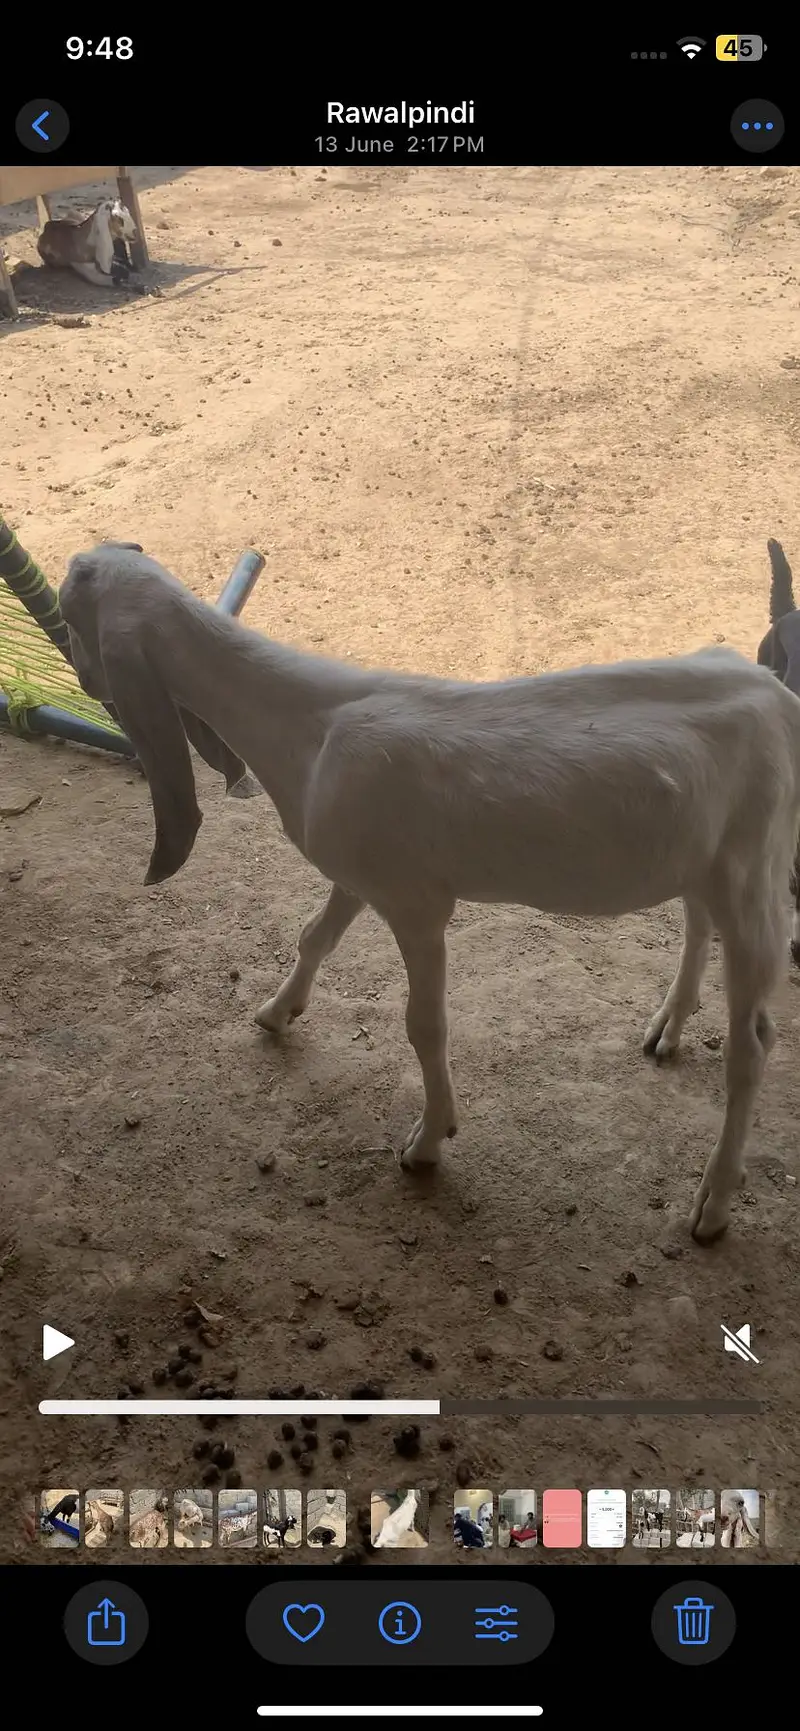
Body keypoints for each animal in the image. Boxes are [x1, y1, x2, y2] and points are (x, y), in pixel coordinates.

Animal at [59, 544, 800, 1245]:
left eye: (70, 615)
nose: (87, 683)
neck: (307, 724)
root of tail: (777, 695)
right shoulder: (361, 875)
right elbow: (314, 936)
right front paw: (275, 1012)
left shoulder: (416, 904)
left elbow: (424, 1023)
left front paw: (427, 1142)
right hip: (702, 859)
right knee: (698, 922)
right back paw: (668, 1028)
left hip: (755, 867)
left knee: (752, 1043)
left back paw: (713, 1205)